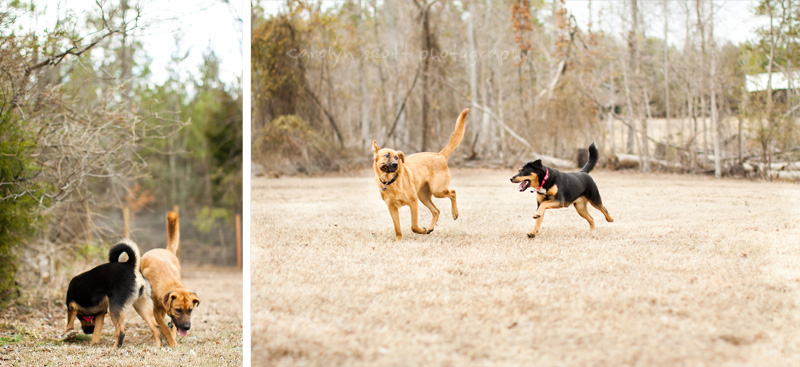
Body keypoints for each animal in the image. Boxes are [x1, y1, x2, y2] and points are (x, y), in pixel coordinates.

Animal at [140, 213, 199, 348]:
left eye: (190, 310)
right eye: (178, 310)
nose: (187, 327)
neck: (170, 283)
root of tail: (166, 250)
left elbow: (170, 326)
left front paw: (172, 338)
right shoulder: (156, 311)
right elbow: (164, 327)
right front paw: (172, 342)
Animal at [374, 108, 468, 242]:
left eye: (397, 157)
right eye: (386, 155)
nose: (395, 164)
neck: (391, 182)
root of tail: (440, 155)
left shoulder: (413, 202)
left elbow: (413, 226)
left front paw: (420, 231)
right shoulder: (392, 208)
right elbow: (397, 228)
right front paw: (398, 240)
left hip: (437, 190)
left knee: (453, 192)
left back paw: (454, 213)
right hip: (423, 196)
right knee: (436, 211)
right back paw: (430, 228)